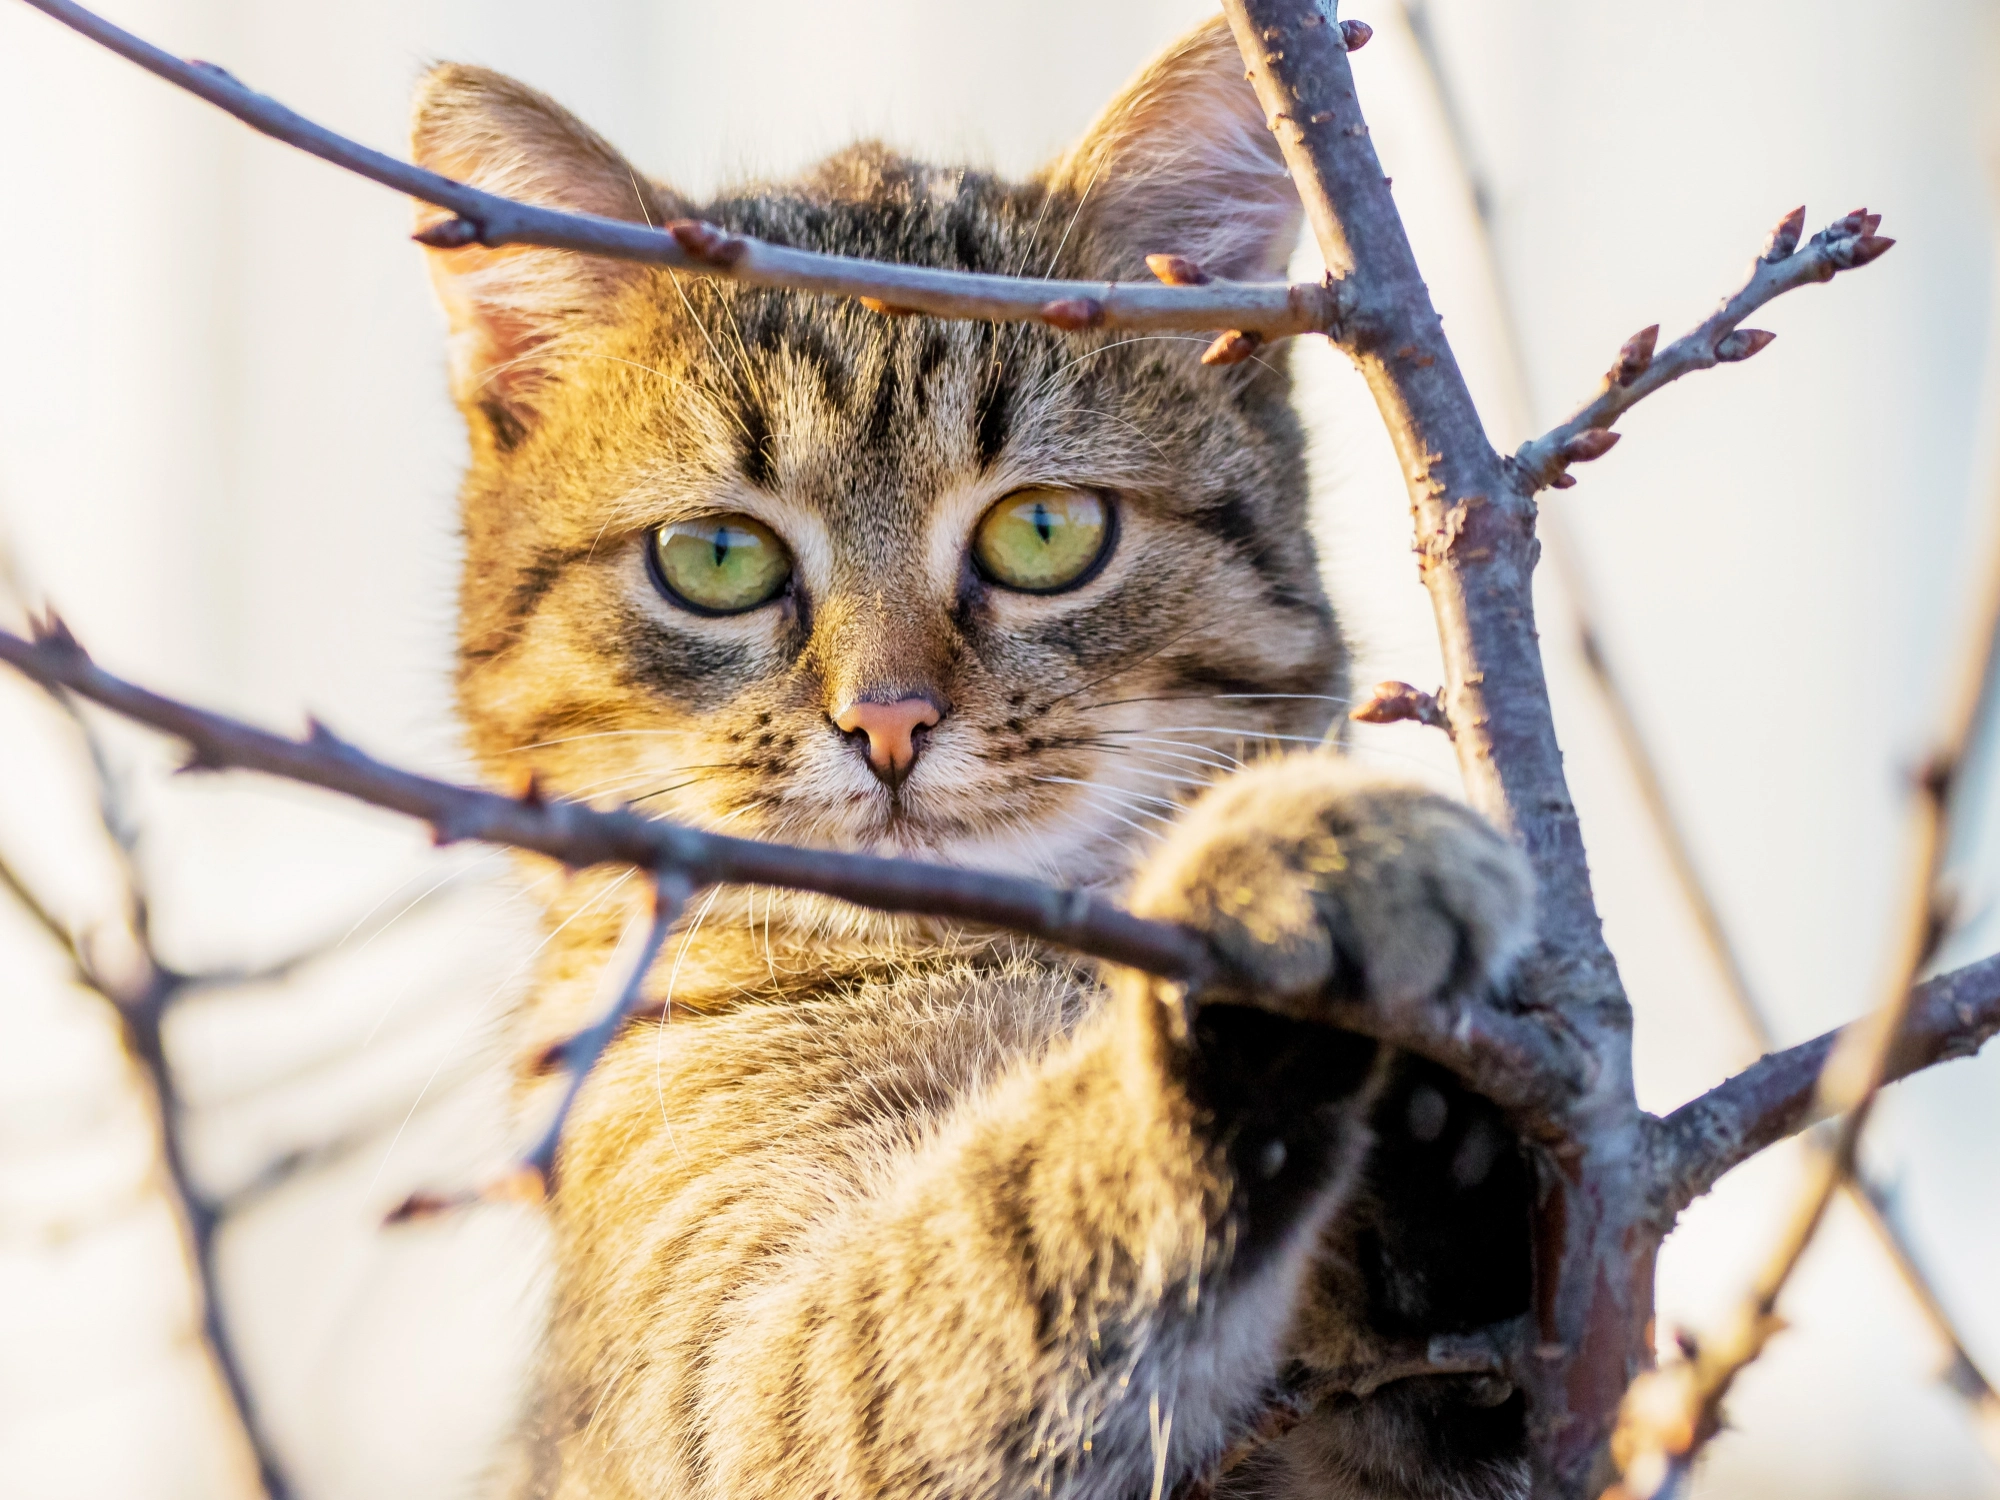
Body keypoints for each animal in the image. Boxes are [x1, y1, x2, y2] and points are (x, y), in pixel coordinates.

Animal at [406, 14, 1528, 1500]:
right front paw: (1287, 876)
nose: (887, 719)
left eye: (1044, 532)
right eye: (716, 558)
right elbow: (1000, 1236)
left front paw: (1445, 1176)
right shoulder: (727, 1372)